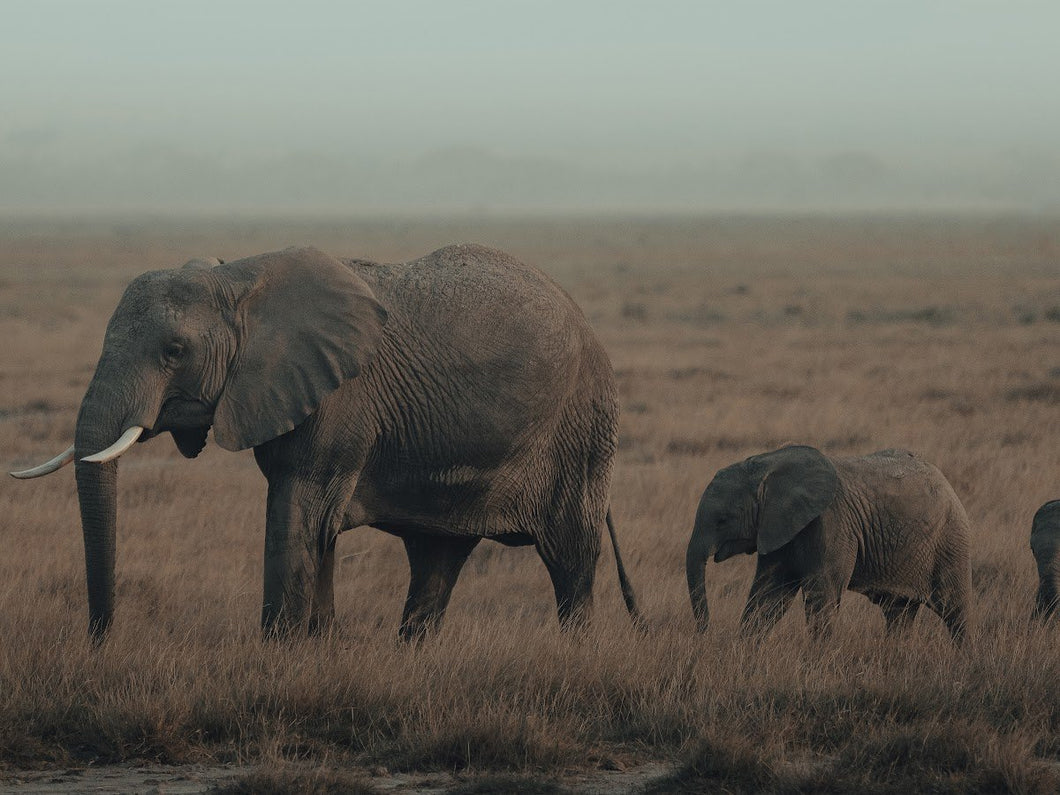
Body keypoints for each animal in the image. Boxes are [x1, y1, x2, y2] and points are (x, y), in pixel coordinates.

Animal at [12, 242, 640, 640]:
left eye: (173, 351)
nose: (101, 641)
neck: (238, 279)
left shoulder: (338, 397)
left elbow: (298, 513)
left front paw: (281, 656)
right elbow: (316, 529)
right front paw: (318, 647)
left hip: (581, 430)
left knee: (570, 560)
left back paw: (577, 656)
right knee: (436, 560)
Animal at [686, 449, 975, 640]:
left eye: (723, 520)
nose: (705, 633)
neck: (769, 464)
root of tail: (947, 484)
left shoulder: (832, 523)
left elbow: (821, 596)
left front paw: (815, 663)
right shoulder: (777, 529)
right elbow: (768, 595)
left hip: (951, 541)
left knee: (955, 611)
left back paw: (966, 664)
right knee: (899, 614)